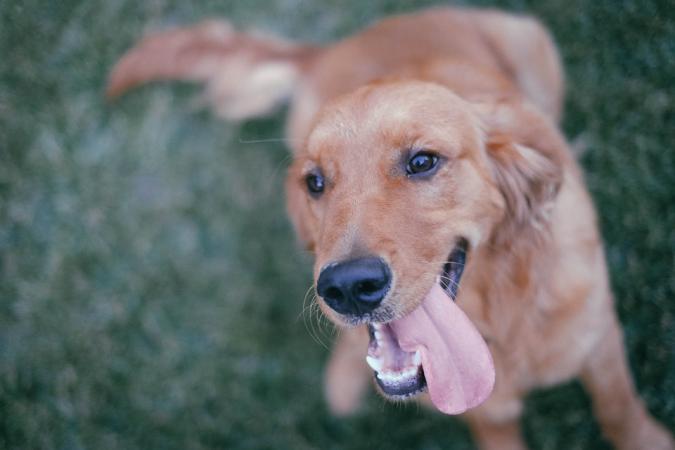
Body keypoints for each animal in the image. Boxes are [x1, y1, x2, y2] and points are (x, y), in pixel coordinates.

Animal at [108, 7, 672, 450]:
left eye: (423, 161)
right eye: (315, 182)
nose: (348, 287)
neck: (499, 317)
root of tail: (335, 45)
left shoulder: (601, 342)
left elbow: (619, 411)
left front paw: (648, 440)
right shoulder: (485, 411)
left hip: (530, 40)